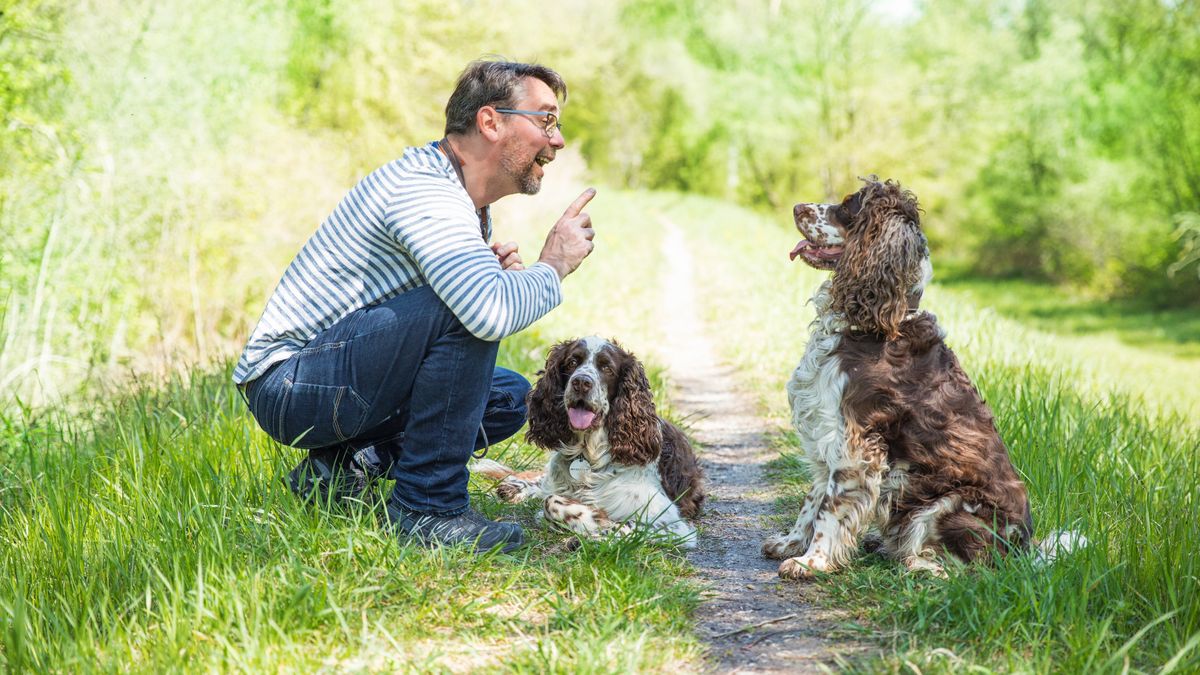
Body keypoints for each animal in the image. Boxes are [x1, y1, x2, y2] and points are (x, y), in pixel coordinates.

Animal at [475, 336, 705, 547]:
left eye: (607, 368)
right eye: (572, 362)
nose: (581, 382)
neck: (588, 454)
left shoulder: (670, 524)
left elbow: (624, 525)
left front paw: (595, 530)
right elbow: (551, 500)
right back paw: (515, 487)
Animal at [763, 176, 1075, 576]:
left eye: (848, 206)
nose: (796, 207)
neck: (879, 323)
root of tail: (1025, 551)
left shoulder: (856, 443)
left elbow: (830, 509)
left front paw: (811, 561)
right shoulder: (827, 430)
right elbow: (812, 500)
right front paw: (790, 543)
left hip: (947, 503)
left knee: (973, 570)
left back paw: (919, 565)